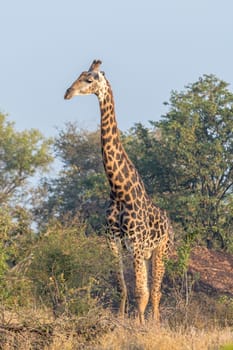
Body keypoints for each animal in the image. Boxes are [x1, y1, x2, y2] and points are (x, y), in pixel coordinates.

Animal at [64, 58, 173, 324]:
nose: (67, 93)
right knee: (150, 290)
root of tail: (170, 222)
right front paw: (122, 320)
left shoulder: (136, 245)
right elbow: (122, 287)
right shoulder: (113, 242)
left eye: (89, 79)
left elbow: (141, 292)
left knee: (156, 292)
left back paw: (154, 324)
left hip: (161, 250)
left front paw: (139, 325)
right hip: (147, 254)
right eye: (78, 76)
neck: (119, 191)